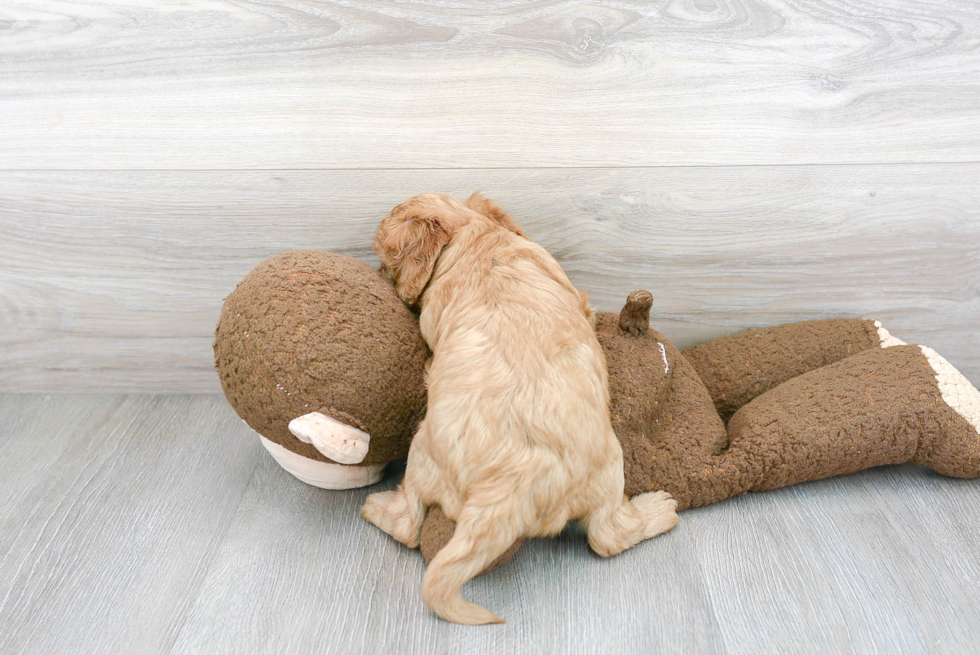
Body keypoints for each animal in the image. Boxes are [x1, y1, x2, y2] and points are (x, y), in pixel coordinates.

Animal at [362, 191, 680, 624]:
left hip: (422, 456)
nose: (378, 275)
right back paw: (659, 510)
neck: (476, 239)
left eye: (385, 259)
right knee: (607, 536)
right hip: (610, 469)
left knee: (409, 524)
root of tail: (509, 486)